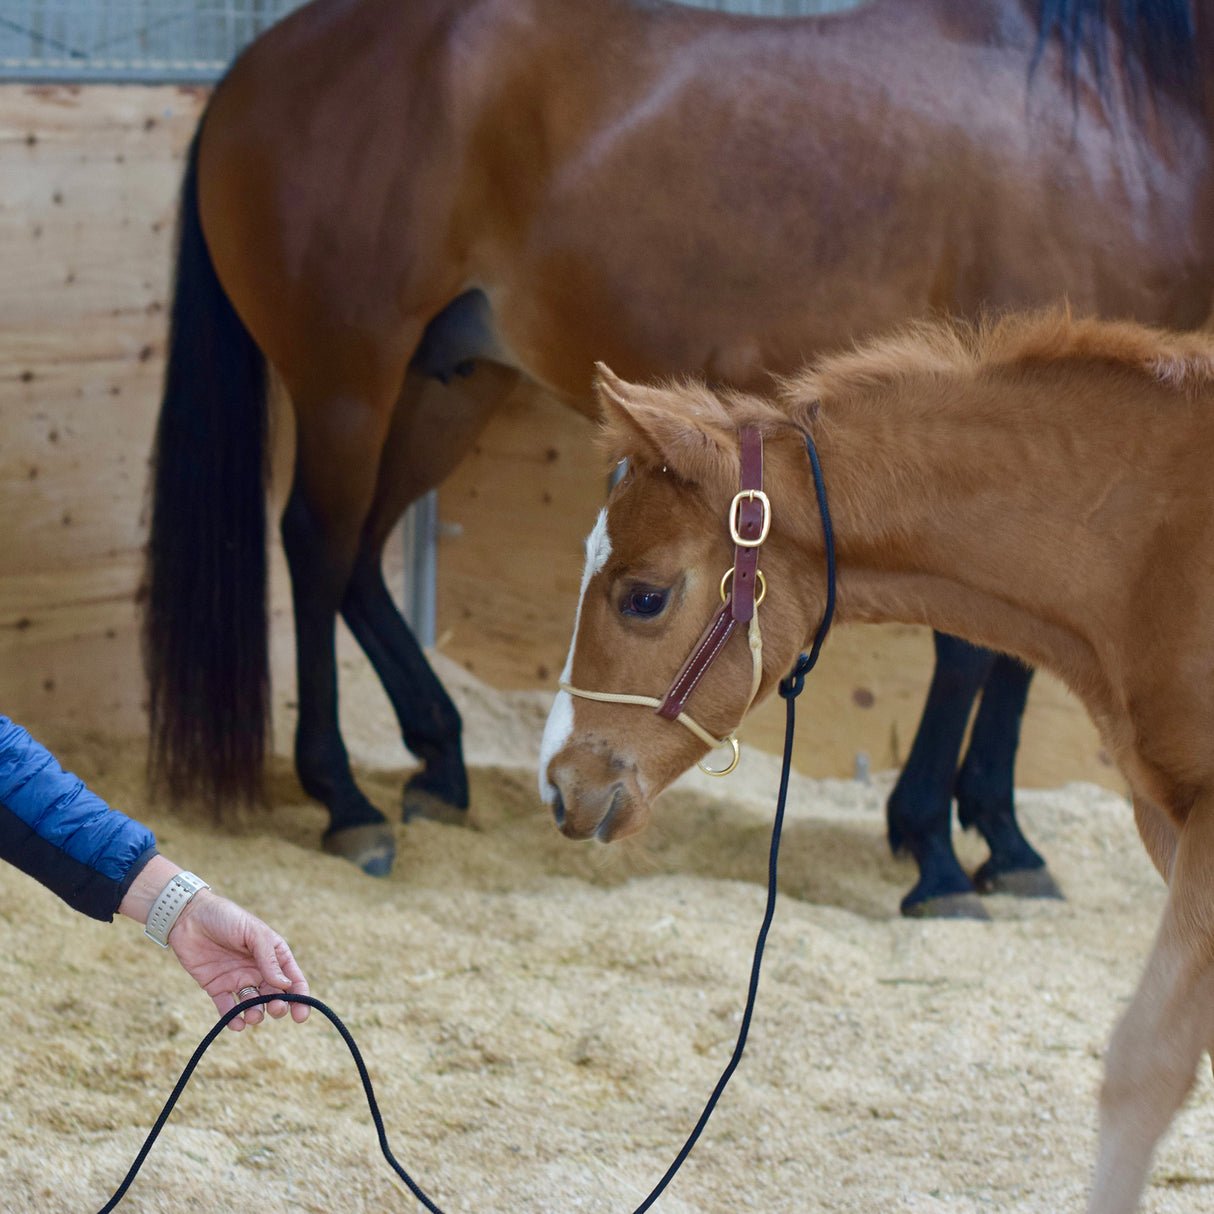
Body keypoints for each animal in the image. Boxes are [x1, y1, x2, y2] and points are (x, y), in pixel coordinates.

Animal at [141, 0, 1213, 905]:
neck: (1110, 112)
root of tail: (256, 65)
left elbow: (1023, 645)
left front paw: (1004, 840)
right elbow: (977, 648)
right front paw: (939, 850)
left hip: (447, 384)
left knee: (362, 554)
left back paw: (439, 762)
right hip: (347, 380)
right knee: (317, 545)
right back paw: (348, 802)